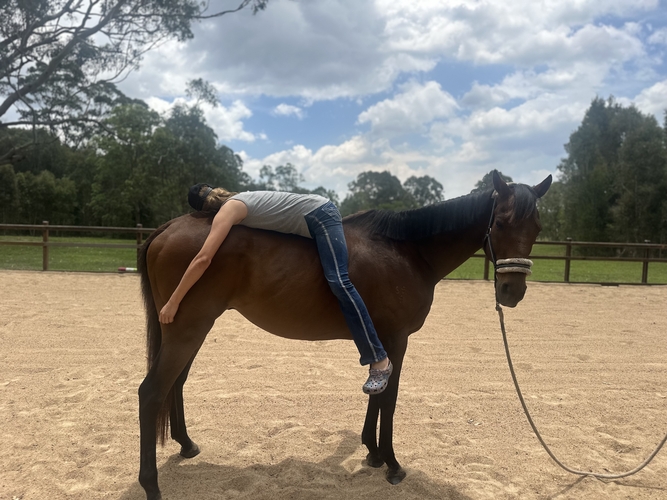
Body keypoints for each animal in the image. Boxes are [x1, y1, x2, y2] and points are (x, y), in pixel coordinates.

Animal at [137, 170, 552, 500]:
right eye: (501, 224)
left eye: (536, 228)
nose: (512, 292)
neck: (407, 251)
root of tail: (167, 228)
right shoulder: (396, 339)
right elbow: (389, 399)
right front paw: (392, 464)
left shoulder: (381, 338)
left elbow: (376, 394)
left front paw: (372, 452)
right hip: (187, 329)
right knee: (152, 391)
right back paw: (151, 484)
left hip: (190, 330)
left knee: (176, 383)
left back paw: (187, 446)